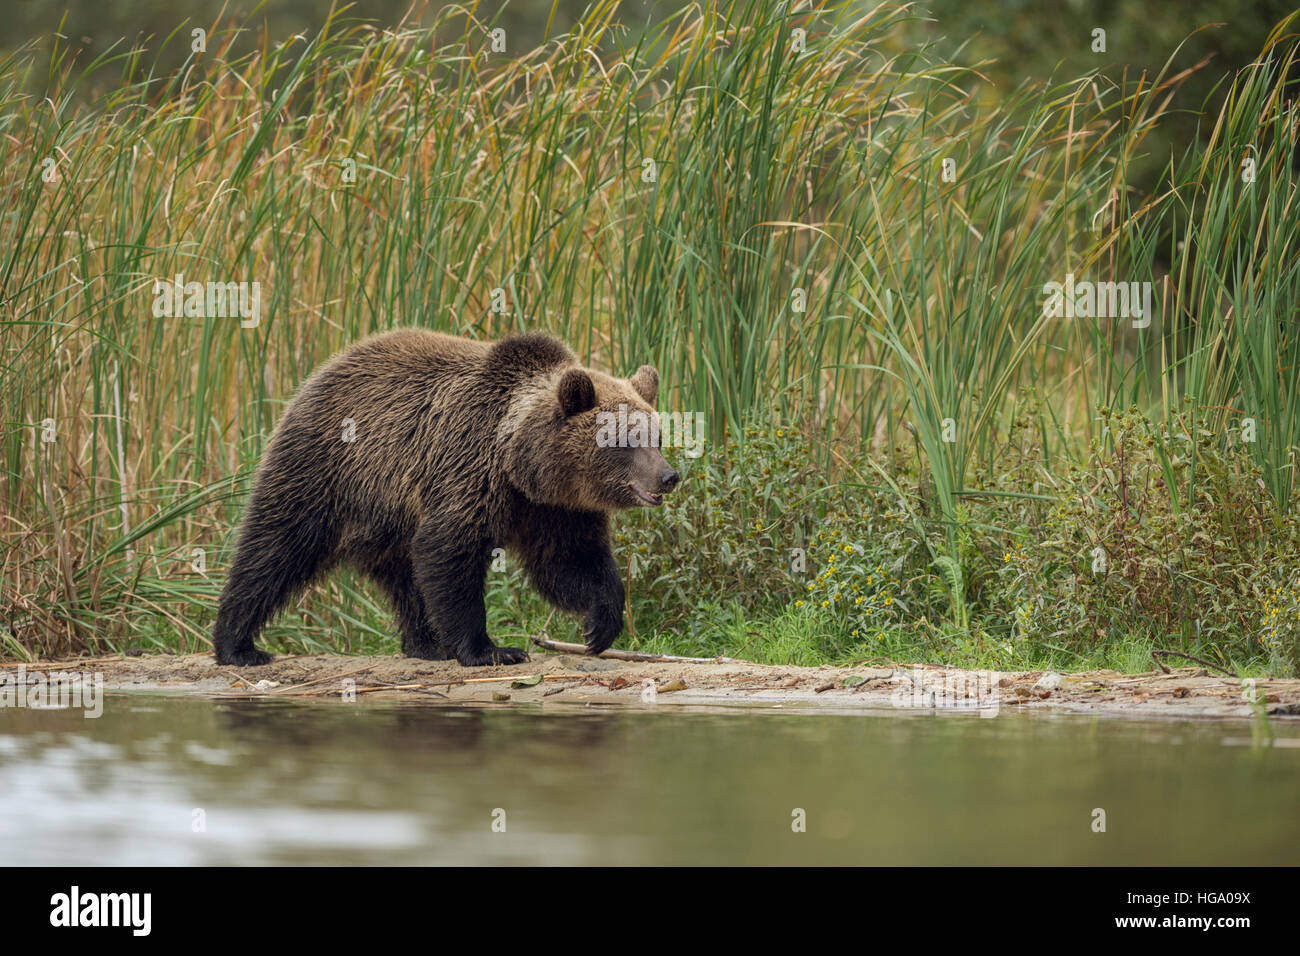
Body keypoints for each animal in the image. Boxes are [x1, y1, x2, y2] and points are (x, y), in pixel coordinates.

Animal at [208, 332, 676, 671]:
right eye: (625, 440)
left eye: (656, 435)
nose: (669, 476)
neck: (522, 464)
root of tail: (321, 371)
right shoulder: (467, 469)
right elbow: (451, 551)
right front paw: (492, 649)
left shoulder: (555, 508)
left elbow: (569, 562)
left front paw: (600, 625)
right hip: (327, 470)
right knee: (274, 549)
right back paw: (238, 645)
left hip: (389, 516)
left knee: (406, 579)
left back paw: (426, 643)